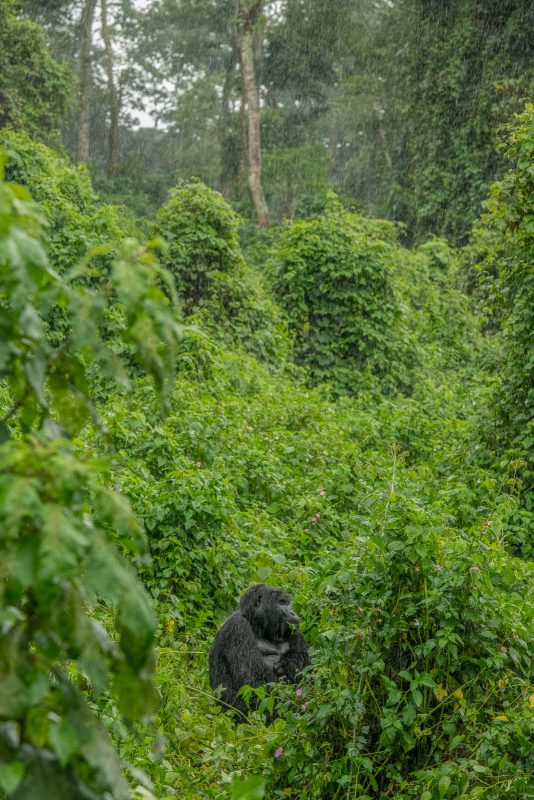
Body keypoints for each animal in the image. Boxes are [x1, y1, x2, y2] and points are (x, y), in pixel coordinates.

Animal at [208, 580, 310, 720]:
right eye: (282, 602)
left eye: (288, 603)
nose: (293, 613)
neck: (255, 624)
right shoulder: (238, 628)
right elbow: (254, 685)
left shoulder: (294, 629)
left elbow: (307, 668)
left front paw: (289, 665)